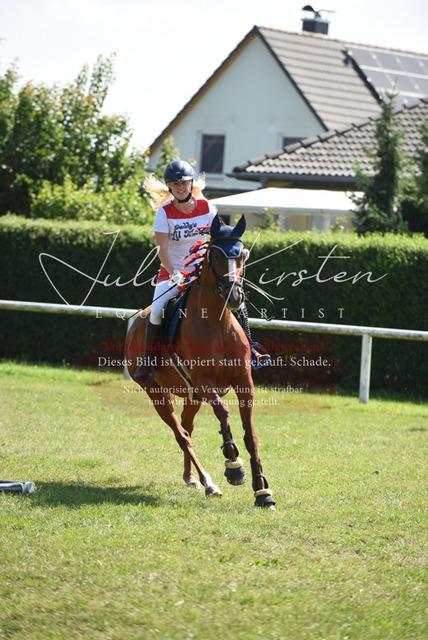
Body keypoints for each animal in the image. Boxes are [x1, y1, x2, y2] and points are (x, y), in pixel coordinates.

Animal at [125, 214, 275, 509]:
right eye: (215, 254)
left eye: (242, 254)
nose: (235, 296)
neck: (217, 323)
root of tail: (136, 323)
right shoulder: (206, 384)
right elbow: (224, 413)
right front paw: (234, 464)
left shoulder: (244, 383)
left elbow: (251, 435)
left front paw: (262, 490)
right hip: (157, 393)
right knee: (181, 435)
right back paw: (209, 483)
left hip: (191, 396)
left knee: (187, 427)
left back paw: (191, 478)